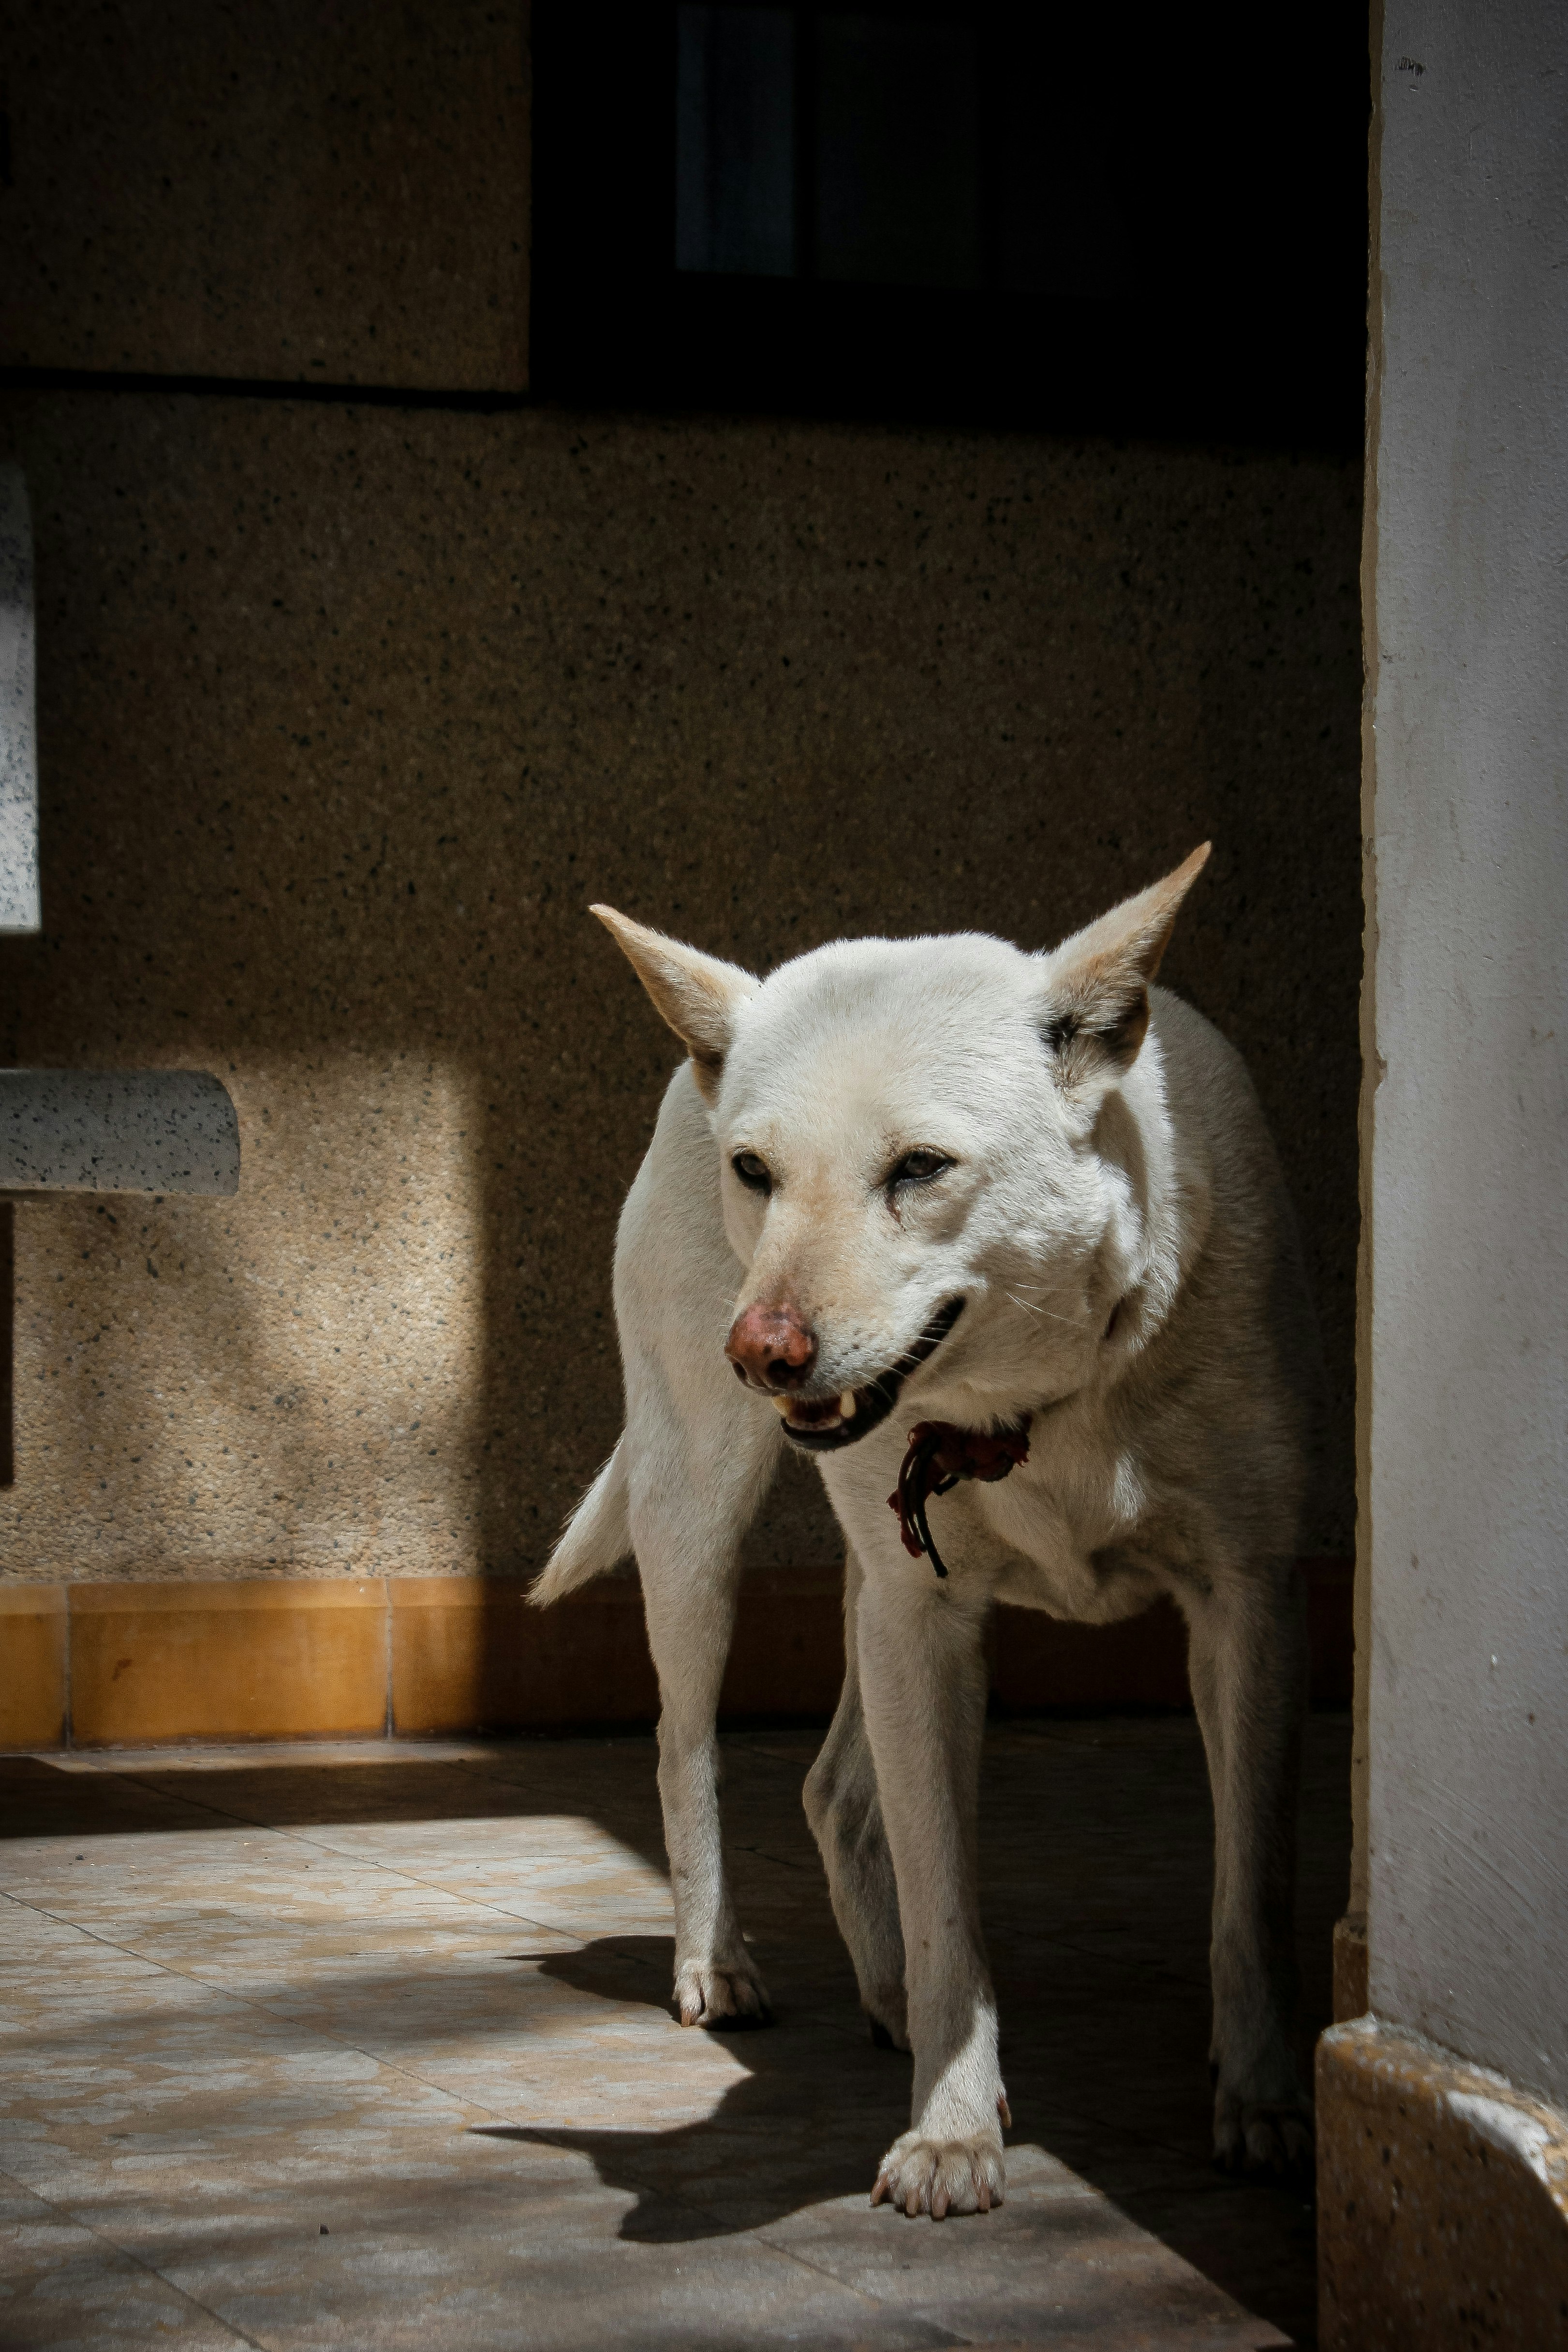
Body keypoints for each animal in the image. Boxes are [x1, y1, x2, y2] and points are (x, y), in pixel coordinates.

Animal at [533, 851, 1316, 2220]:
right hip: (698, 1511)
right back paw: (719, 1960)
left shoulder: (1248, 1604)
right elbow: (949, 1898)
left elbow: (1249, 1889)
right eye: (756, 1171)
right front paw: (953, 2127)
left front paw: (1262, 2098)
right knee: (688, 1743)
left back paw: (888, 1993)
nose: (760, 1351)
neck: (1041, 1398)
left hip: (866, 1586)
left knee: (836, 1787)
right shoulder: (925, 1629)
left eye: (920, 1166)